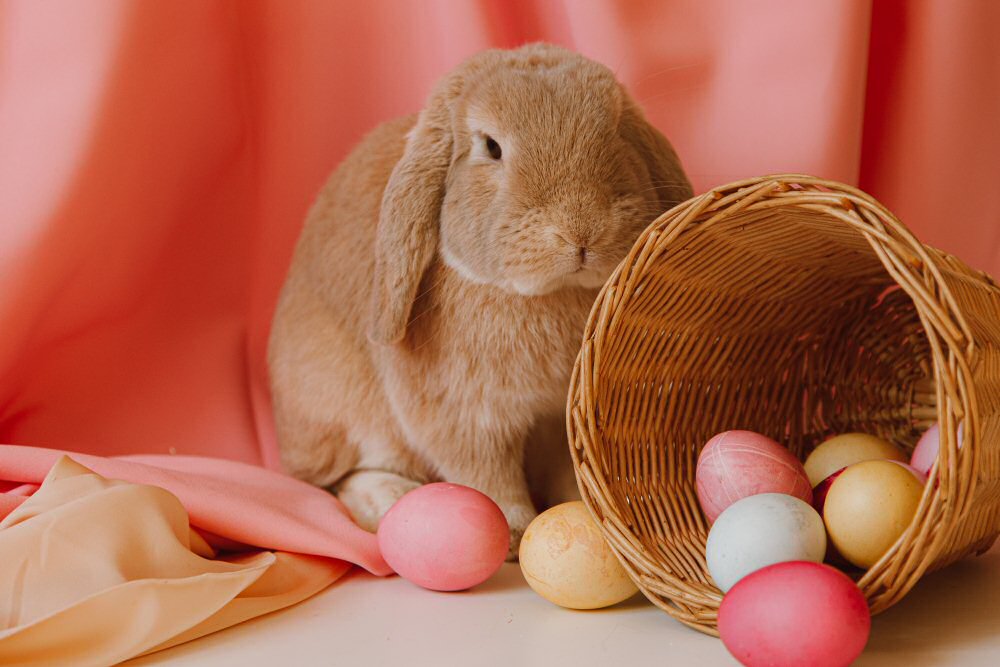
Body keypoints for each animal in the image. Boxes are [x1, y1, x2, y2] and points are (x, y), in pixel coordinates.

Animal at [272, 41, 696, 560]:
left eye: (617, 128)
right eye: (490, 147)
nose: (580, 230)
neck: (547, 293)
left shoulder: (560, 421)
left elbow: (566, 472)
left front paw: (585, 514)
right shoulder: (467, 416)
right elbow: (486, 476)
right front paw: (512, 533)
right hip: (342, 414)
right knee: (341, 479)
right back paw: (390, 499)